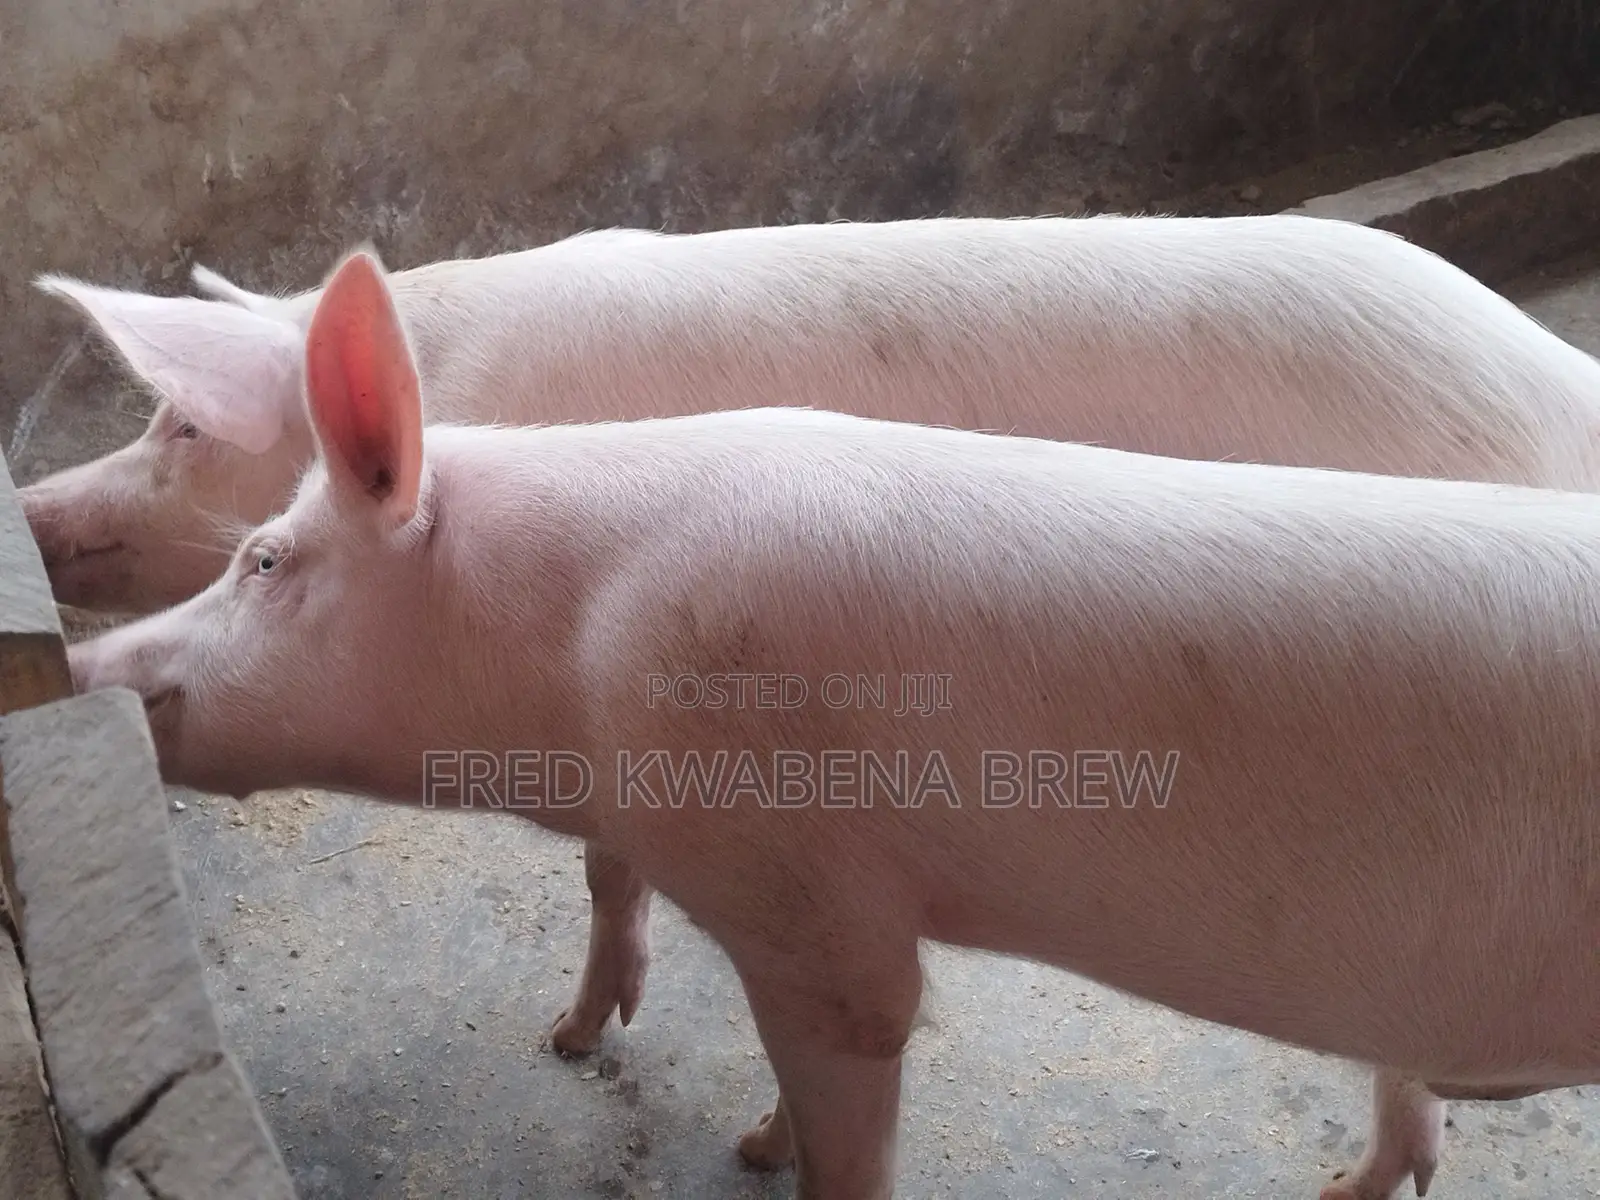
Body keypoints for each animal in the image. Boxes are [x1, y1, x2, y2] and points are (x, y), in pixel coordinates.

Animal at [69, 251, 1600, 1200]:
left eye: (264, 560)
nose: (85, 667)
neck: (573, 648)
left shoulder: (812, 905)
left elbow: (851, 1091)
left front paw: (600, 1063)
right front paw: (716, 1123)